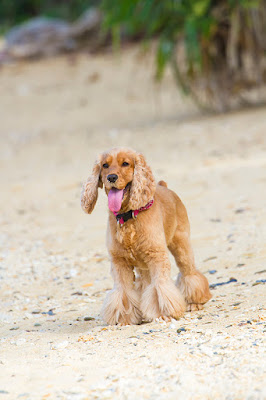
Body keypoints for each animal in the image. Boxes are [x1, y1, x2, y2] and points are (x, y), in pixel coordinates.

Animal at [81, 147, 212, 324]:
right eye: (105, 165)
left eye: (125, 163)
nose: (111, 177)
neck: (128, 216)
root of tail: (164, 186)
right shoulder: (119, 262)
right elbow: (124, 293)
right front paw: (124, 319)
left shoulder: (157, 256)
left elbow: (160, 288)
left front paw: (163, 313)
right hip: (143, 265)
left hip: (181, 245)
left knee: (189, 272)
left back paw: (195, 302)